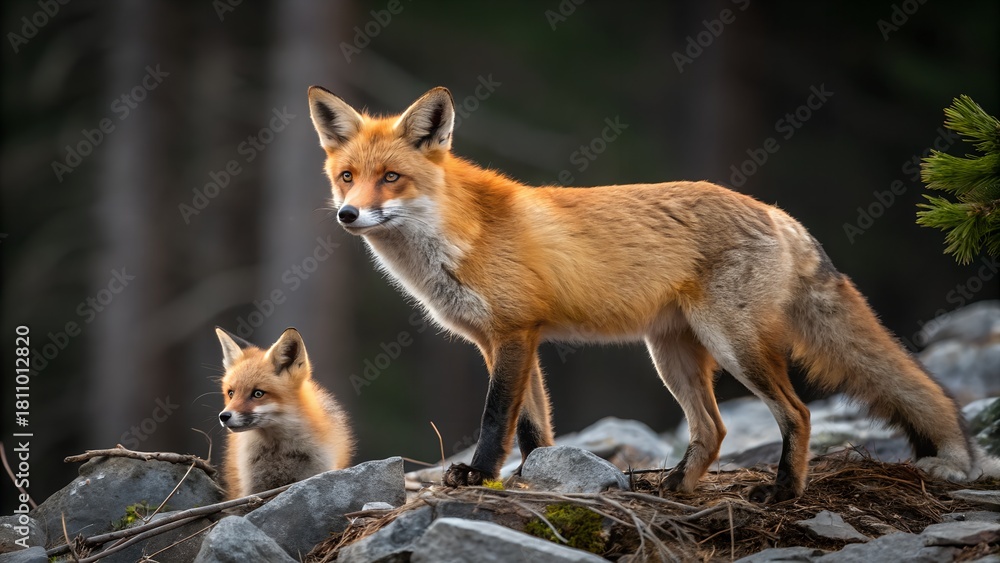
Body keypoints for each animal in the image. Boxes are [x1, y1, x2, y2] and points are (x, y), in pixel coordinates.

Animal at [215, 327, 354, 499]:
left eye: (258, 393)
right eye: (231, 393)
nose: (224, 416)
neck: (279, 450)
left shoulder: (318, 470)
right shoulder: (252, 488)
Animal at [306, 85, 998, 501]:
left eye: (391, 178)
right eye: (347, 176)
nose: (347, 214)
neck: (456, 237)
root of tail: (777, 213)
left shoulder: (513, 334)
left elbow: (496, 417)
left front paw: (477, 473)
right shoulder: (504, 340)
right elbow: (532, 427)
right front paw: (537, 475)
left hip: (735, 345)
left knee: (796, 413)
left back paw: (781, 492)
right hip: (671, 353)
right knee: (713, 429)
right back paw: (676, 488)